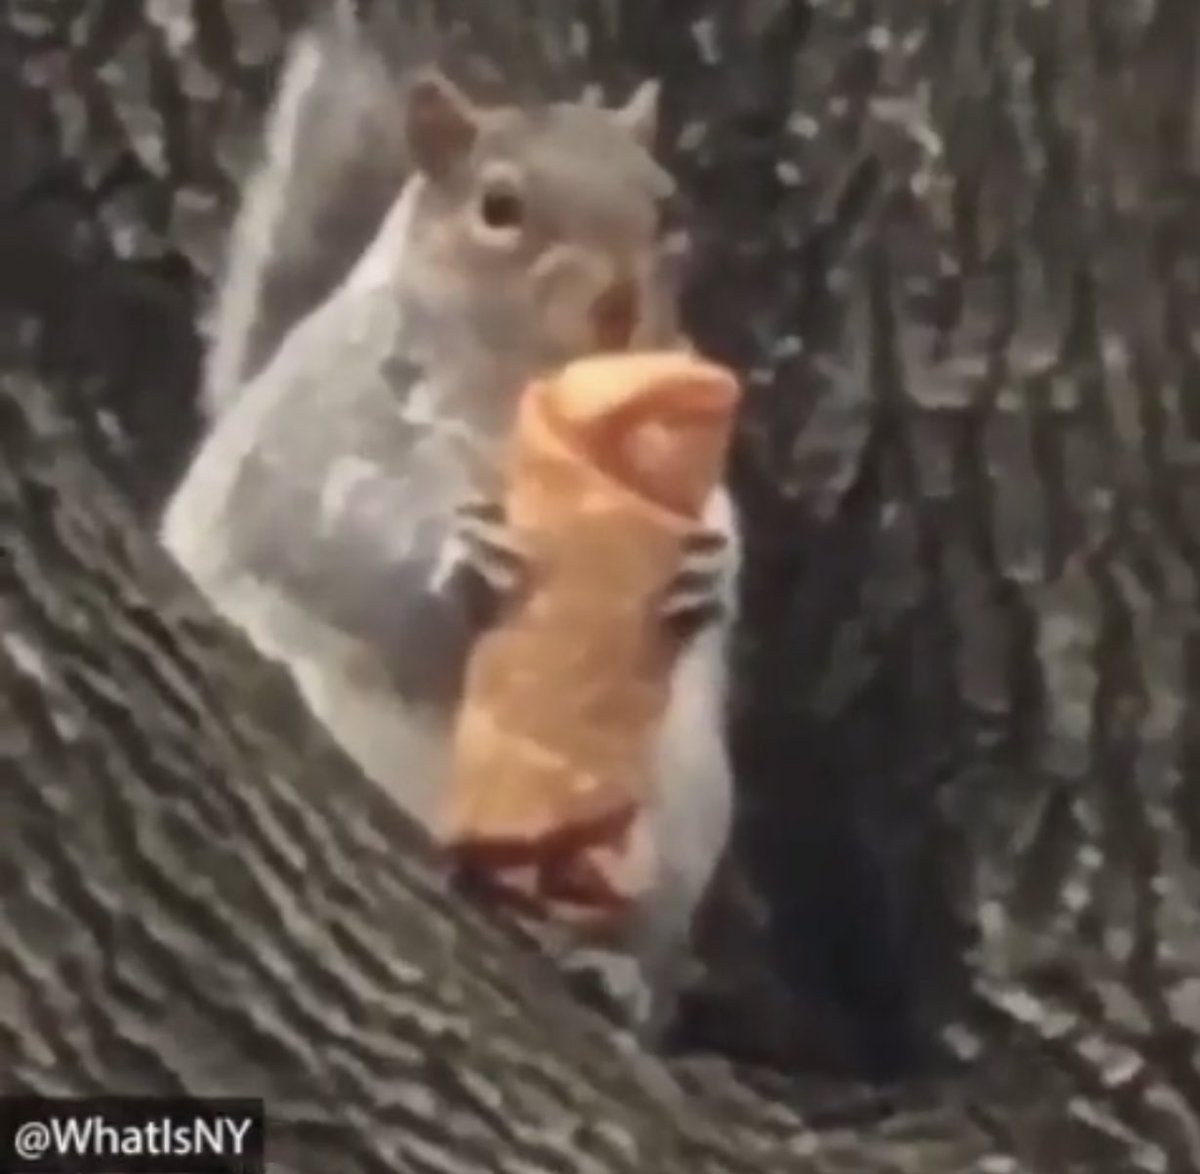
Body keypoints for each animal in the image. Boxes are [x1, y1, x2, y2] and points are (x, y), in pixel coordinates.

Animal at [160, 15, 742, 1040]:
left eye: (668, 208)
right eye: (498, 207)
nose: (621, 303)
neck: (515, 395)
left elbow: (725, 537)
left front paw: (701, 579)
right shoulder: (319, 421)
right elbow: (320, 530)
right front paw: (460, 567)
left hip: (681, 816)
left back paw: (612, 970)